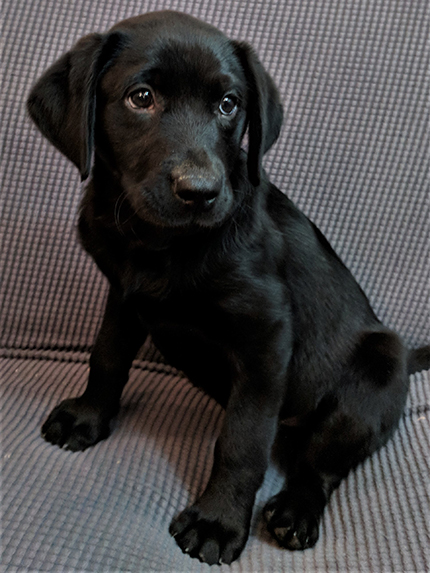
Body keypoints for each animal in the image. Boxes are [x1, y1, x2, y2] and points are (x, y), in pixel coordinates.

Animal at [28, 11, 428, 564]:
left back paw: (295, 511)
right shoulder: (124, 299)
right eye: (140, 97)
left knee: (320, 466)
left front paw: (217, 521)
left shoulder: (266, 339)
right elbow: (106, 356)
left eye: (228, 104)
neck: (158, 243)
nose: (200, 192)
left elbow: (243, 438)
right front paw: (89, 416)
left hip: (375, 374)